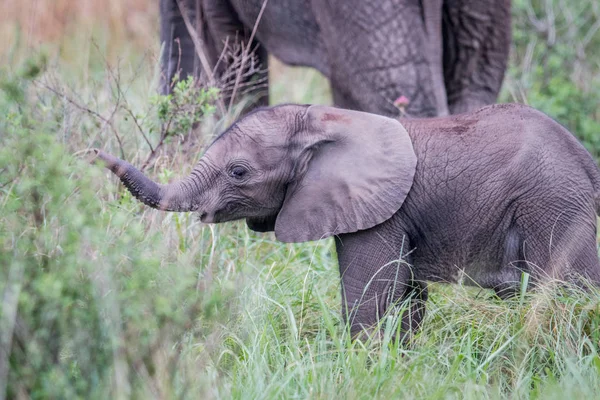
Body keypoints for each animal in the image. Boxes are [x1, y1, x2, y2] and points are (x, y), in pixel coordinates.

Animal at [92, 102, 600, 338]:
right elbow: (404, 301)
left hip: (553, 203)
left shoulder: (377, 214)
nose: (93, 152)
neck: (323, 120)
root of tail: (584, 159)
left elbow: (368, 302)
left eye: (239, 172)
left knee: (569, 295)